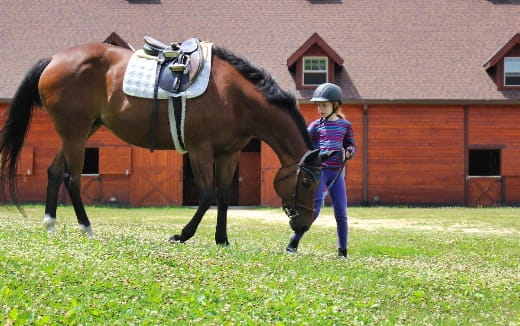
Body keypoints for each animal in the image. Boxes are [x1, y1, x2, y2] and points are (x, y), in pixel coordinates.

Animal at [0, 42, 320, 244]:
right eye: (306, 183)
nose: (304, 225)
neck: (235, 97)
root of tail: (54, 59)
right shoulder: (200, 149)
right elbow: (207, 195)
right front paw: (182, 235)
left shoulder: (228, 154)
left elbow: (224, 196)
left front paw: (222, 239)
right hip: (76, 133)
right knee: (73, 179)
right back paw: (86, 228)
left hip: (78, 132)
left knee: (55, 172)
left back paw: (50, 224)